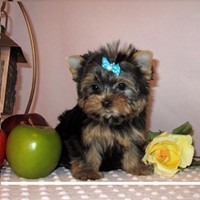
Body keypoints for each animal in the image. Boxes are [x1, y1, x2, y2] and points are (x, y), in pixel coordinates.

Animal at [55, 41, 154, 180]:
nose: (106, 102)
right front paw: (87, 171)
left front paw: (138, 167)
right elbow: (85, 153)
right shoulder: (82, 136)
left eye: (121, 85)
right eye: (95, 87)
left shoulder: (133, 134)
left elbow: (134, 149)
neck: (110, 120)